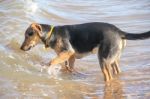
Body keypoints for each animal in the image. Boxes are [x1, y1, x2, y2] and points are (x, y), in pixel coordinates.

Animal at [20, 22, 150, 82]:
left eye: (28, 34)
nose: (21, 48)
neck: (52, 34)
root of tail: (119, 31)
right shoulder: (70, 57)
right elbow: (67, 67)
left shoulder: (68, 52)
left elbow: (51, 62)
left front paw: (46, 68)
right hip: (113, 60)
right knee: (117, 72)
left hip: (103, 60)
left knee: (108, 77)